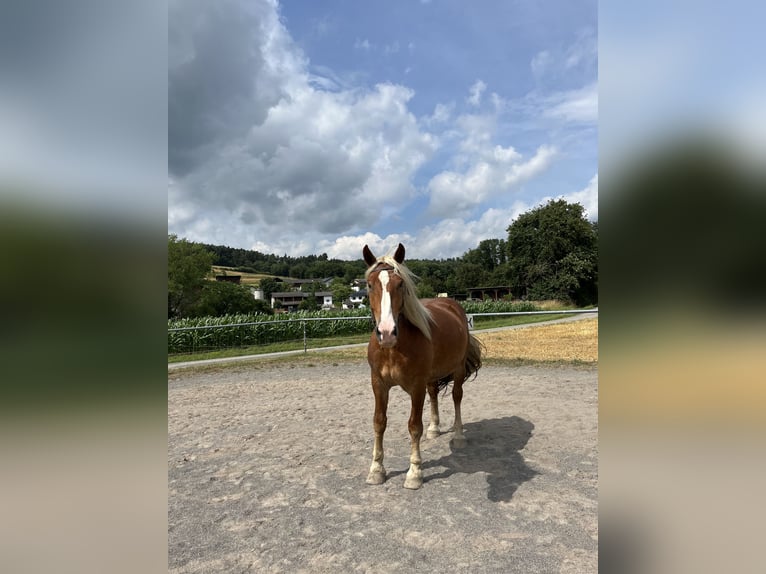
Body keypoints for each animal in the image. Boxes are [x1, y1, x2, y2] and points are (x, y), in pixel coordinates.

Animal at [362, 243, 483, 489]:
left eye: (400, 284)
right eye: (369, 284)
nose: (386, 332)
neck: (393, 349)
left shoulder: (416, 387)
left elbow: (413, 426)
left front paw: (414, 473)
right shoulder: (378, 384)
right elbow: (379, 422)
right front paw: (376, 470)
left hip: (457, 370)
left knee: (457, 397)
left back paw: (458, 436)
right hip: (432, 377)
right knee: (434, 393)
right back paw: (434, 429)